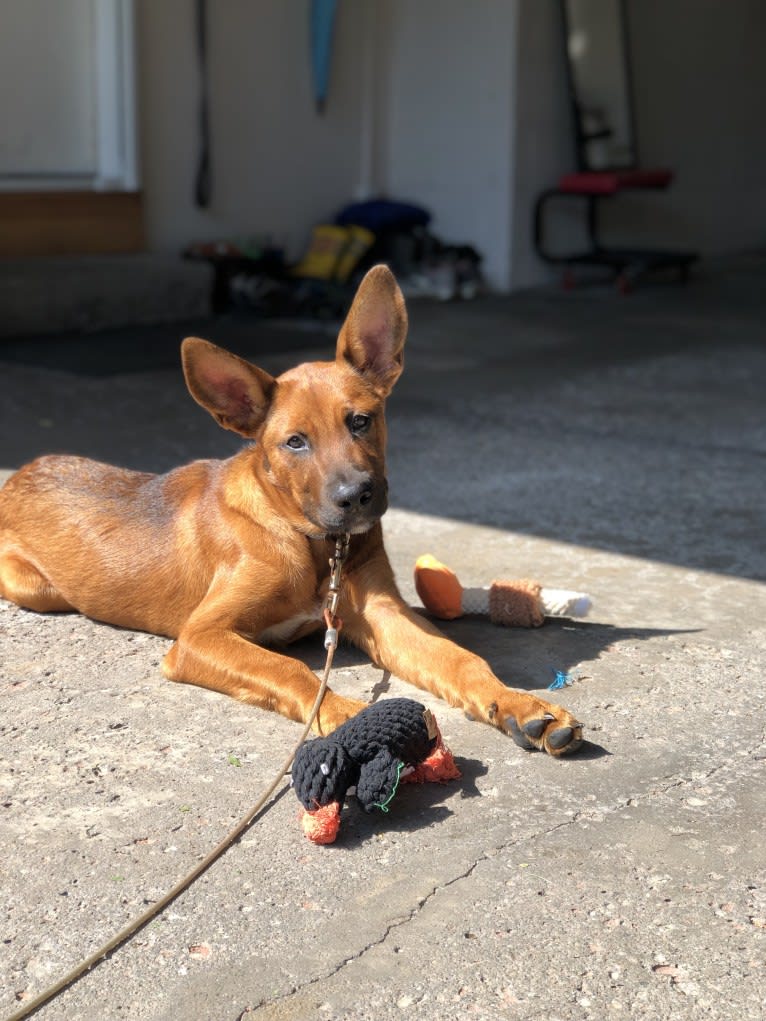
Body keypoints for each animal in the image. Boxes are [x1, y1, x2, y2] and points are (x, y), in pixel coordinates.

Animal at [0, 267, 584, 755]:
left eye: (361, 421)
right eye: (294, 442)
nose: (357, 496)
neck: (314, 542)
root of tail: (24, 469)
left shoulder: (382, 613)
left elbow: (460, 657)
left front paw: (519, 703)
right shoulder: (200, 637)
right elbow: (290, 671)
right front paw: (351, 718)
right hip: (37, 590)